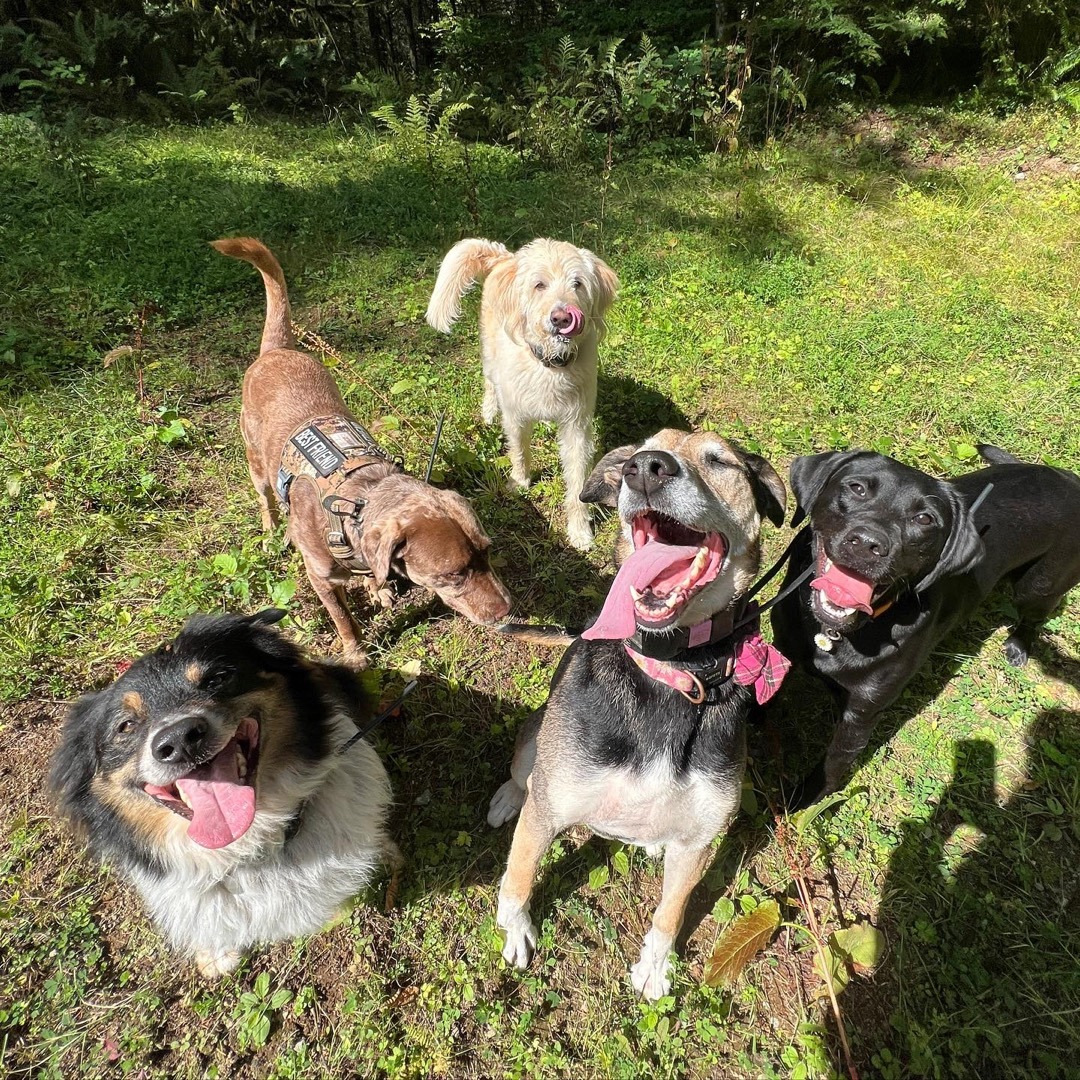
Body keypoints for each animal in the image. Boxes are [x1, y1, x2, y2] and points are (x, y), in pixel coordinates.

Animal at [425, 237, 622, 548]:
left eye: (577, 283)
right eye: (539, 285)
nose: (561, 317)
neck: (549, 365)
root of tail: (505, 257)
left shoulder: (576, 427)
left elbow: (577, 480)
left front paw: (580, 531)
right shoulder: (515, 416)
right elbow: (518, 451)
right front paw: (519, 483)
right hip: (489, 354)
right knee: (489, 383)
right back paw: (488, 412)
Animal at [488, 427, 786, 993]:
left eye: (719, 461)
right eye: (641, 450)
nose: (647, 469)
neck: (673, 671)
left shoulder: (697, 841)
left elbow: (670, 913)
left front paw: (655, 966)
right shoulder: (550, 809)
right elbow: (518, 875)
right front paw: (515, 928)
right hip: (534, 740)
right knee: (521, 777)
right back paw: (508, 796)